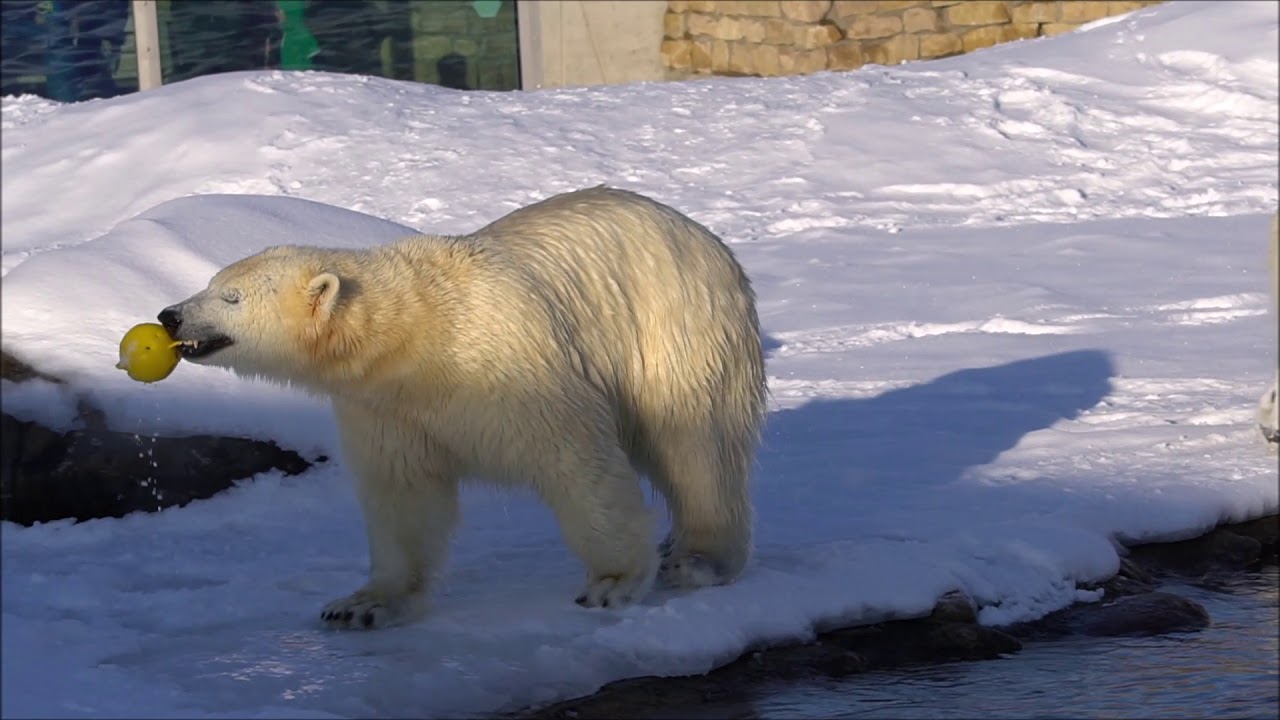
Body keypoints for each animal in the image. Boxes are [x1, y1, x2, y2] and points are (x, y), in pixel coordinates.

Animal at [156, 185, 762, 627]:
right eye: (211, 282)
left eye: (231, 297)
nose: (170, 316)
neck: (416, 333)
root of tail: (703, 236)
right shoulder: (386, 407)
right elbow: (403, 496)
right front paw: (362, 604)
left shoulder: (513, 366)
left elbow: (576, 460)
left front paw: (612, 583)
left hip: (676, 327)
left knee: (694, 443)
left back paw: (698, 558)